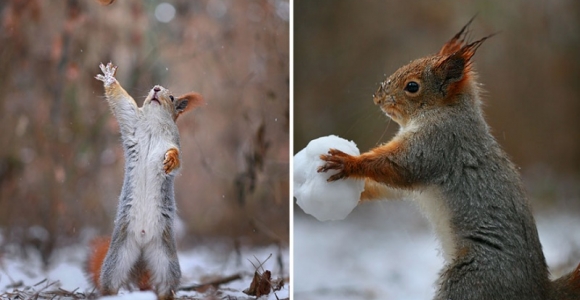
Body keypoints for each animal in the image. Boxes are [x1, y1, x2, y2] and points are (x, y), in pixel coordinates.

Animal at [85, 62, 204, 298]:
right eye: (153, 89)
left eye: (173, 97)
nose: (156, 89)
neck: (154, 123)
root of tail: (141, 245)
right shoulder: (131, 120)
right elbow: (121, 102)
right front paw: (109, 78)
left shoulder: (173, 142)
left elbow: (177, 157)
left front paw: (170, 160)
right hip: (118, 257)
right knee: (111, 283)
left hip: (165, 259)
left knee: (166, 284)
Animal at [318, 19, 580, 300]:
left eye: (412, 86)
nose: (377, 97)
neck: (445, 110)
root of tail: (539, 289)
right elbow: (391, 186)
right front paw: (359, 193)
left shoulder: (438, 144)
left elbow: (400, 167)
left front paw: (347, 163)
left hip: (473, 279)